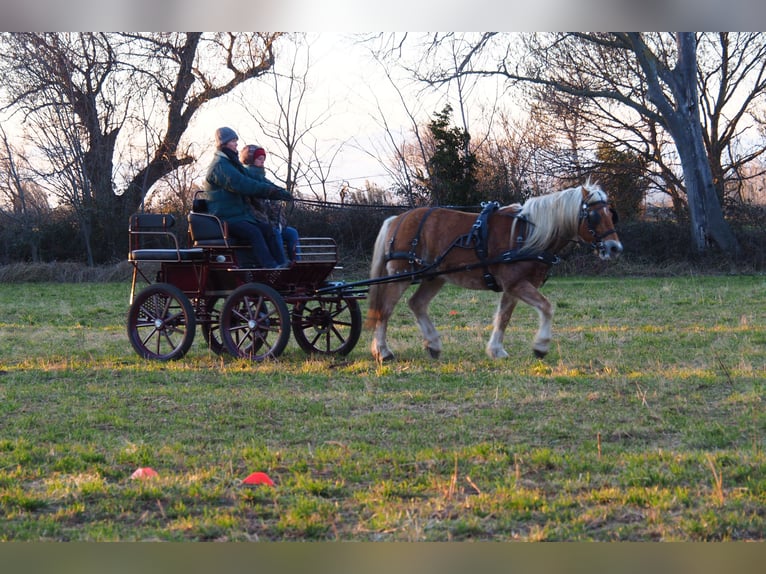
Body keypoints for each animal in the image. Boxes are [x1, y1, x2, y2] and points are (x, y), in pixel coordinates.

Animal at [364, 182, 624, 362]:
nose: (615, 248)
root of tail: (397, 218)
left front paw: (496, 350)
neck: (528, 234)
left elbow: (504, 317)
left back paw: (433, 344)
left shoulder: (513, 286)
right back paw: (383, 351)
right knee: (384, 310)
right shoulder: (516, 284)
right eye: (593, 216)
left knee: (416, 304)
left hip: (435, 277)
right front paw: (541, 346)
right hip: (401, 276)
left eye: (611, 214)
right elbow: (547, 308)